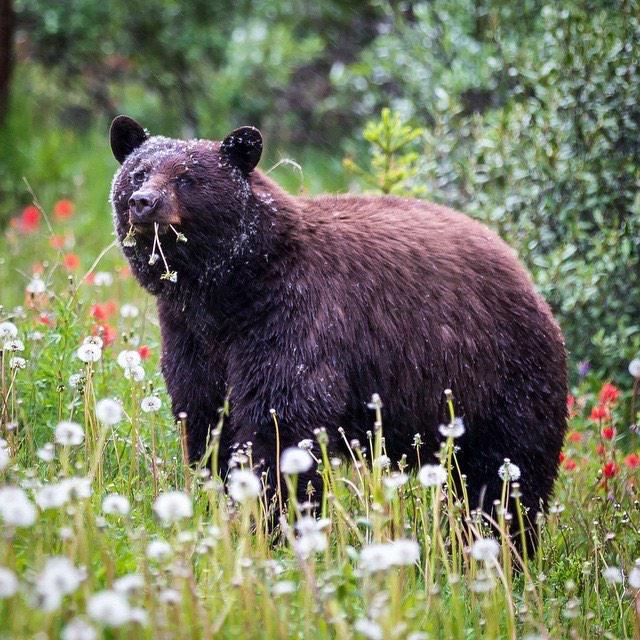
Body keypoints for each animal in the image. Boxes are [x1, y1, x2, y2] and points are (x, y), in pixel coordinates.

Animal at [109, 115, 567, 536]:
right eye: (139, 172)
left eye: (187, 178)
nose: (143, 202)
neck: (232, 290)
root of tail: (526, 277)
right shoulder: (191, 337)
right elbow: (204, 415)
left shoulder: (296, 318)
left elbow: (281, 418)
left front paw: (274, 520)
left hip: (502, 378)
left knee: (507, 473)